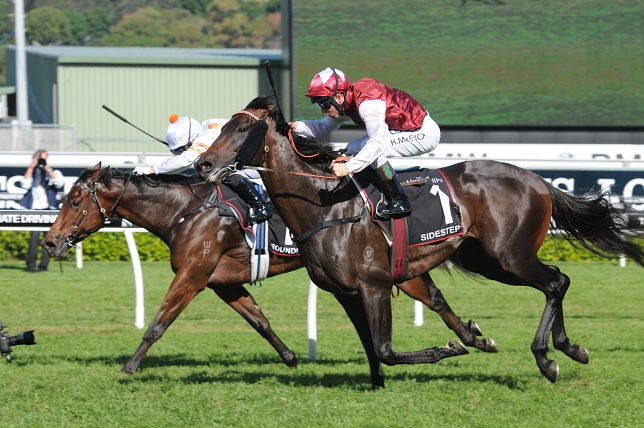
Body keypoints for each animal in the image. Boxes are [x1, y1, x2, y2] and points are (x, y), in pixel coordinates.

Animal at [44, 163, 498, 374]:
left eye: (73, 200)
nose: (50, 241)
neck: (185, 211)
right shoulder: (222, 283)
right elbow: (259, 321)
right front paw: (292, 357)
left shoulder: (192, 275)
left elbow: (159, 322)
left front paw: (130, 366)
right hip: (400, 267)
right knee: (436, 298)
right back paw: (472, 339)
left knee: (433, 300)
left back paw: (467, 340)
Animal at [196, 96, 644, 388]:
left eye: (241, 128)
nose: (203, 163)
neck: (324, 207)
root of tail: (537, 179)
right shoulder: (344, 292)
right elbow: (372, 347)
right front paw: (379, 384)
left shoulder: (374, 284)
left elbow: (385, 349)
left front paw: (449, 348)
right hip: (484, 258)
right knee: (555, 280)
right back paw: (568, 348)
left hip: (509, 257)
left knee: (556, 282)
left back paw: (549, 357)